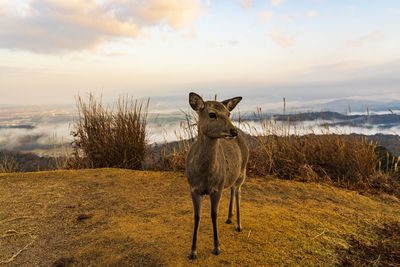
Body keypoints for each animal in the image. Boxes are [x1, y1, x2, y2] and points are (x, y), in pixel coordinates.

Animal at [186, 93, 248, 260]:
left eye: (228, 114)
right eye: (212, 114)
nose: (234, 131)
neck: (205, 176)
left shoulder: (217, 189)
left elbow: (214, 215)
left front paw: (216, 248)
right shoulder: (193, 189)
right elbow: (197, 216)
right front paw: (192, 251)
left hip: (243, 171)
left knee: (238, 192)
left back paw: (238, 225)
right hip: (232, 176)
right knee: (232, 189)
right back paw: (229, 218)